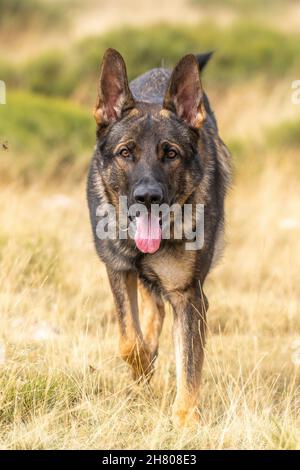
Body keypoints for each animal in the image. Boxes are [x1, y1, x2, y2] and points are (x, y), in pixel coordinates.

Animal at [87, 48, 232, 426]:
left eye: (171, 154)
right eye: (126, 153)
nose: (148, 197)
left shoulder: (189, 296)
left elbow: (189, 367)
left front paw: (185, 420)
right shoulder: (118, 269)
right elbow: (129, 341)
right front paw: (142, 369)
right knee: (149, 306)